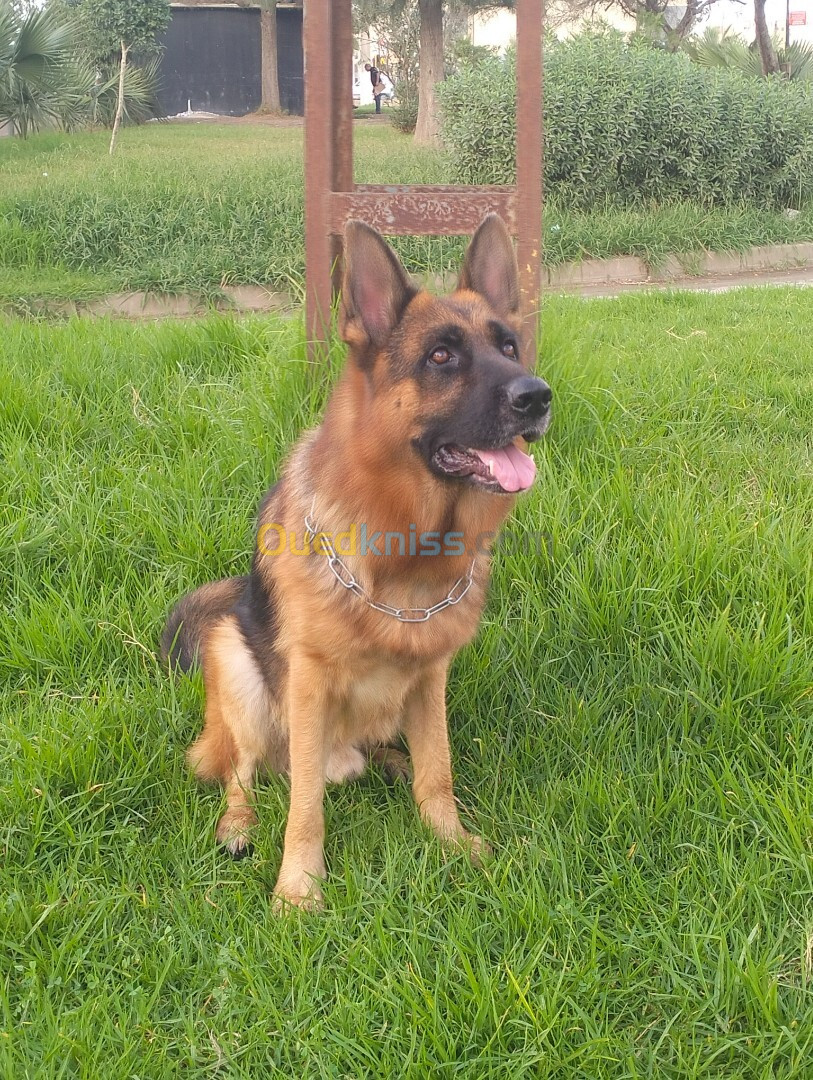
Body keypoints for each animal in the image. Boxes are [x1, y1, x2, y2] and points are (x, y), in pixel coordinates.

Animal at [160, 214, 548, 907]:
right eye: (441, 356)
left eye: (509, 348)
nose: (539, 397)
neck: (406, 552)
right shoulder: (309, 685)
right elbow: (305, 805)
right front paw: (298, 890)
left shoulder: (430, 680)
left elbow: (437, 772)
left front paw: (452, 842)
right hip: (235, 664)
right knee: (241, 771)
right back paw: (238, 825)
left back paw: (390, 766)